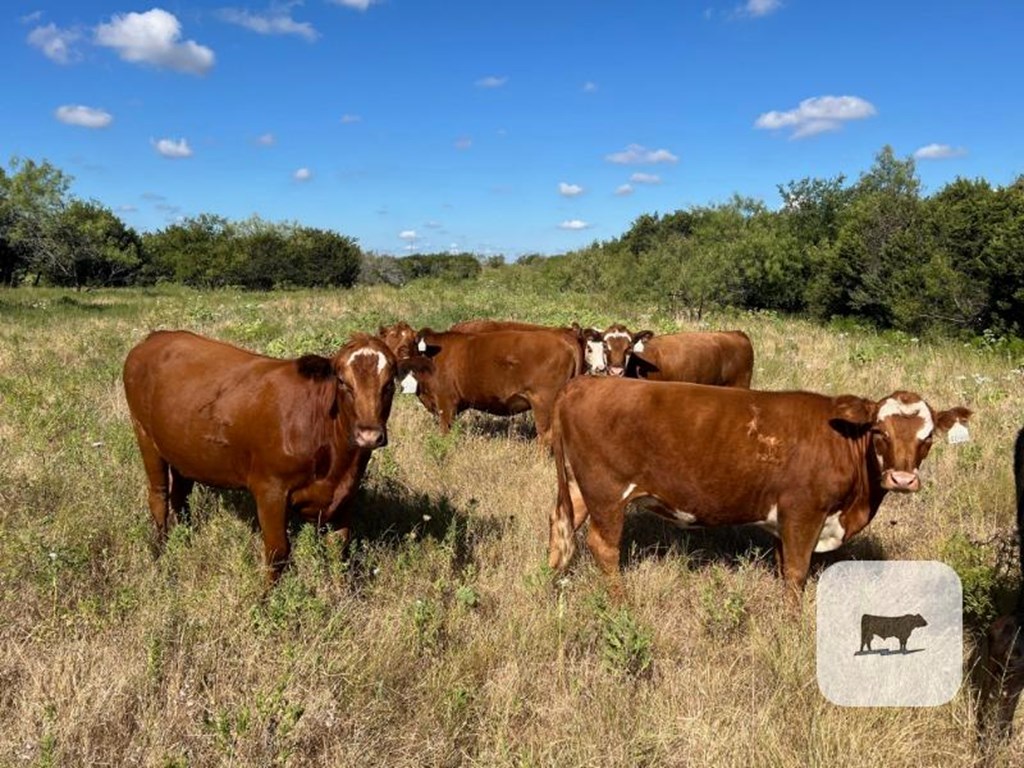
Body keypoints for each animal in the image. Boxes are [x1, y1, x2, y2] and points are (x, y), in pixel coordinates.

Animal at [123, 331, 399, 581]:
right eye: (342, 381)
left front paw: (343, 594)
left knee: (181, 498)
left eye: (390, 383)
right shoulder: (270, 491)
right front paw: (267, 602)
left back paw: (185, 542)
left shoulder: (344, 496)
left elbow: (339, 551)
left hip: (183, 450)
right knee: (159, 497)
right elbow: (278, 553)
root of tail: (156, 337)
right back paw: (161, 555)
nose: (368, 435)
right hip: (144, 434)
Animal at [405, 325, 585, 444]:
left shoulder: (446, 402)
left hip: (543, 403)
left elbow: (445, 431)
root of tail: (563, 336)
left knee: (546, 435)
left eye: (406, 346)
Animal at [548, 378, 970, 602]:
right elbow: (797, 572)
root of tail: (587, 382)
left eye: (927, 438)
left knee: (560, 525)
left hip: (580, 489)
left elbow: (784, 567)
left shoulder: (786, 520)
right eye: (880, 432)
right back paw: (621, 602)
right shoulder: (803, 511)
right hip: (606, 492)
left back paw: (550, 578)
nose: (902, 479)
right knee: (603, 546)